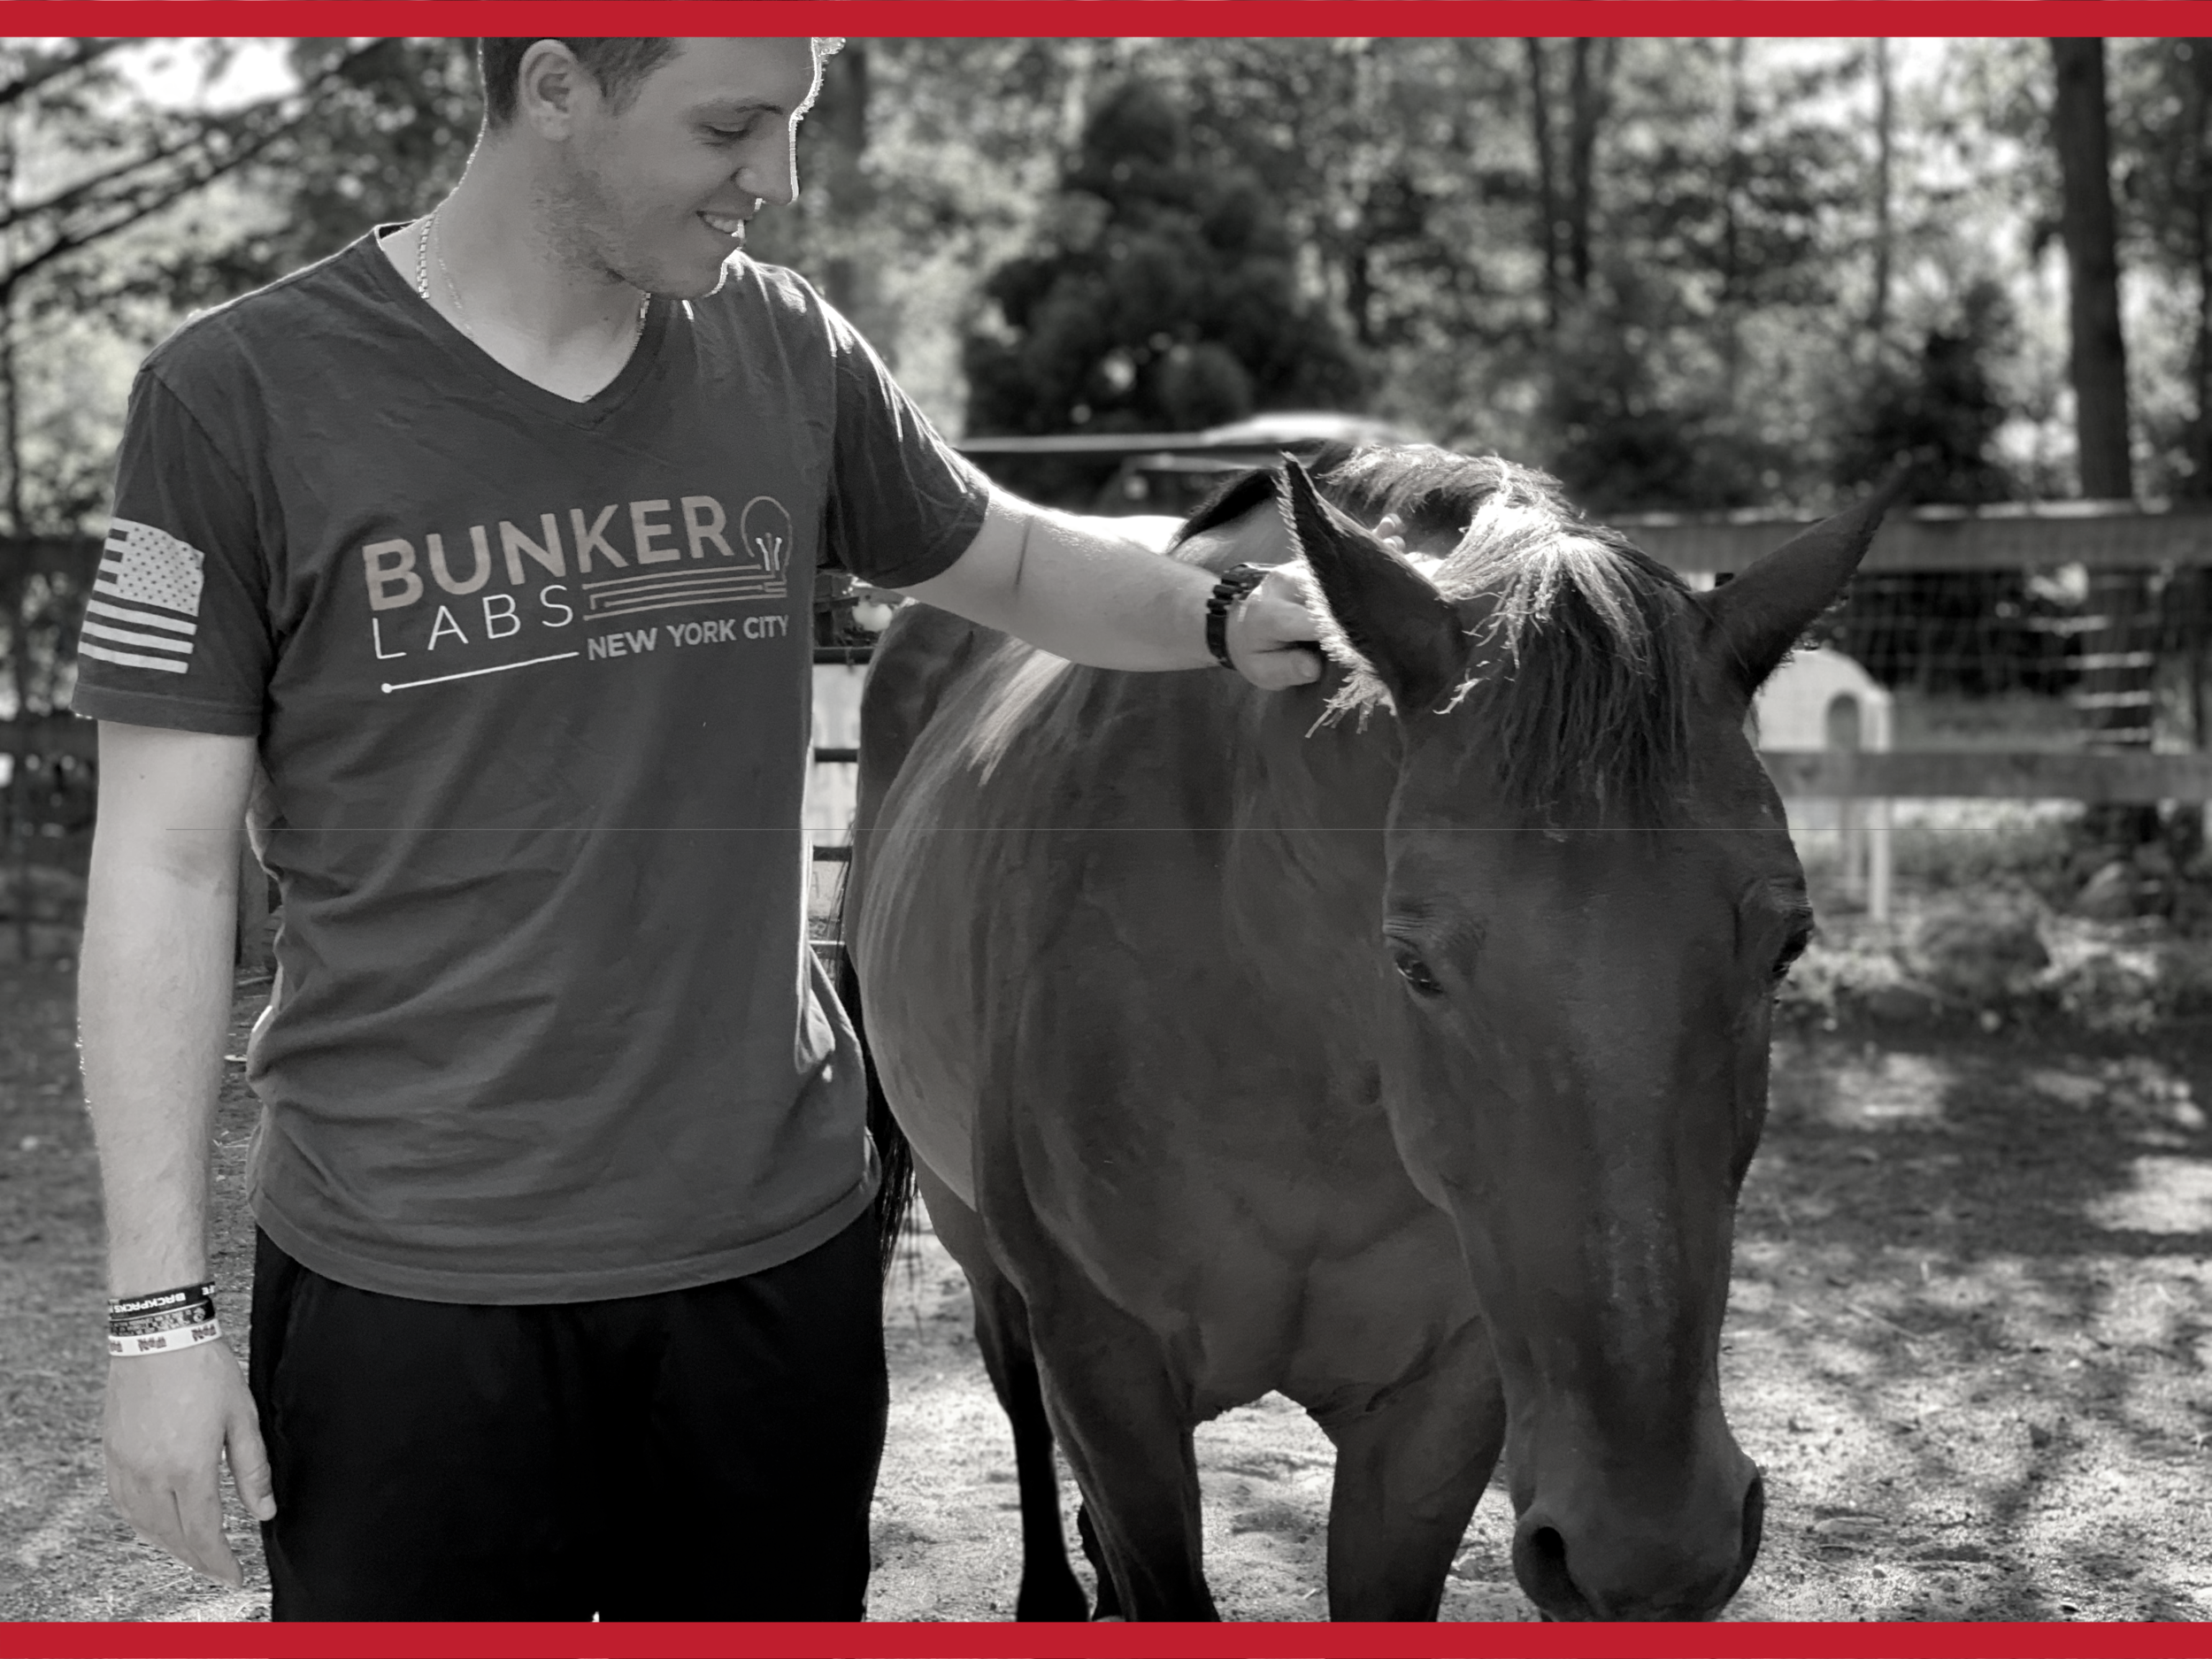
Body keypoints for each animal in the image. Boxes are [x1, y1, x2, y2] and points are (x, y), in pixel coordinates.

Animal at [843, 443, 1899, 1621]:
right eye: (1412, 961)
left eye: (1788, 945)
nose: (1651, 1551)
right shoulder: (1107, 1373)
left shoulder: (1439, 1408)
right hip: (973, 1236)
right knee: (1016, 1385)